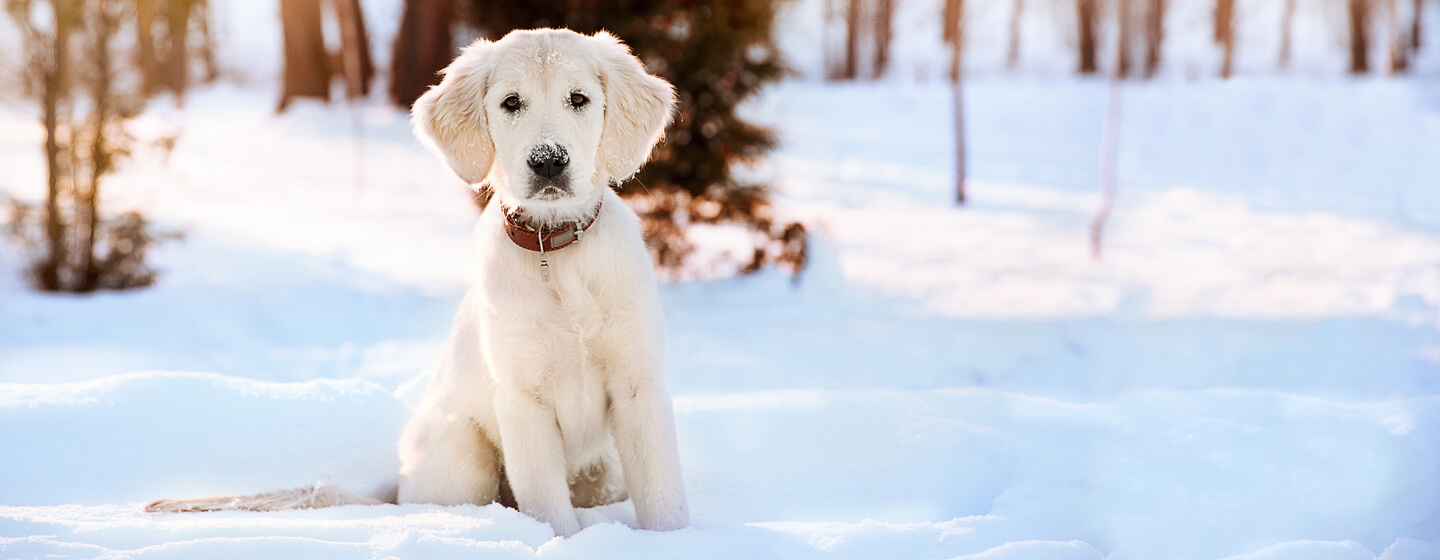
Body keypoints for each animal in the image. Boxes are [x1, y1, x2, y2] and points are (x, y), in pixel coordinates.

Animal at [146, 28, 685, 535]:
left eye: (579, 99)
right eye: (511, 102)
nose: (548, 160)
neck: (556, 254)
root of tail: (397, 492)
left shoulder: (638, 387)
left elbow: (661, 493)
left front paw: (670, 540)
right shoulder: (522, 401)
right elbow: (550, 511)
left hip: (604, 469)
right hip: (463, 448)